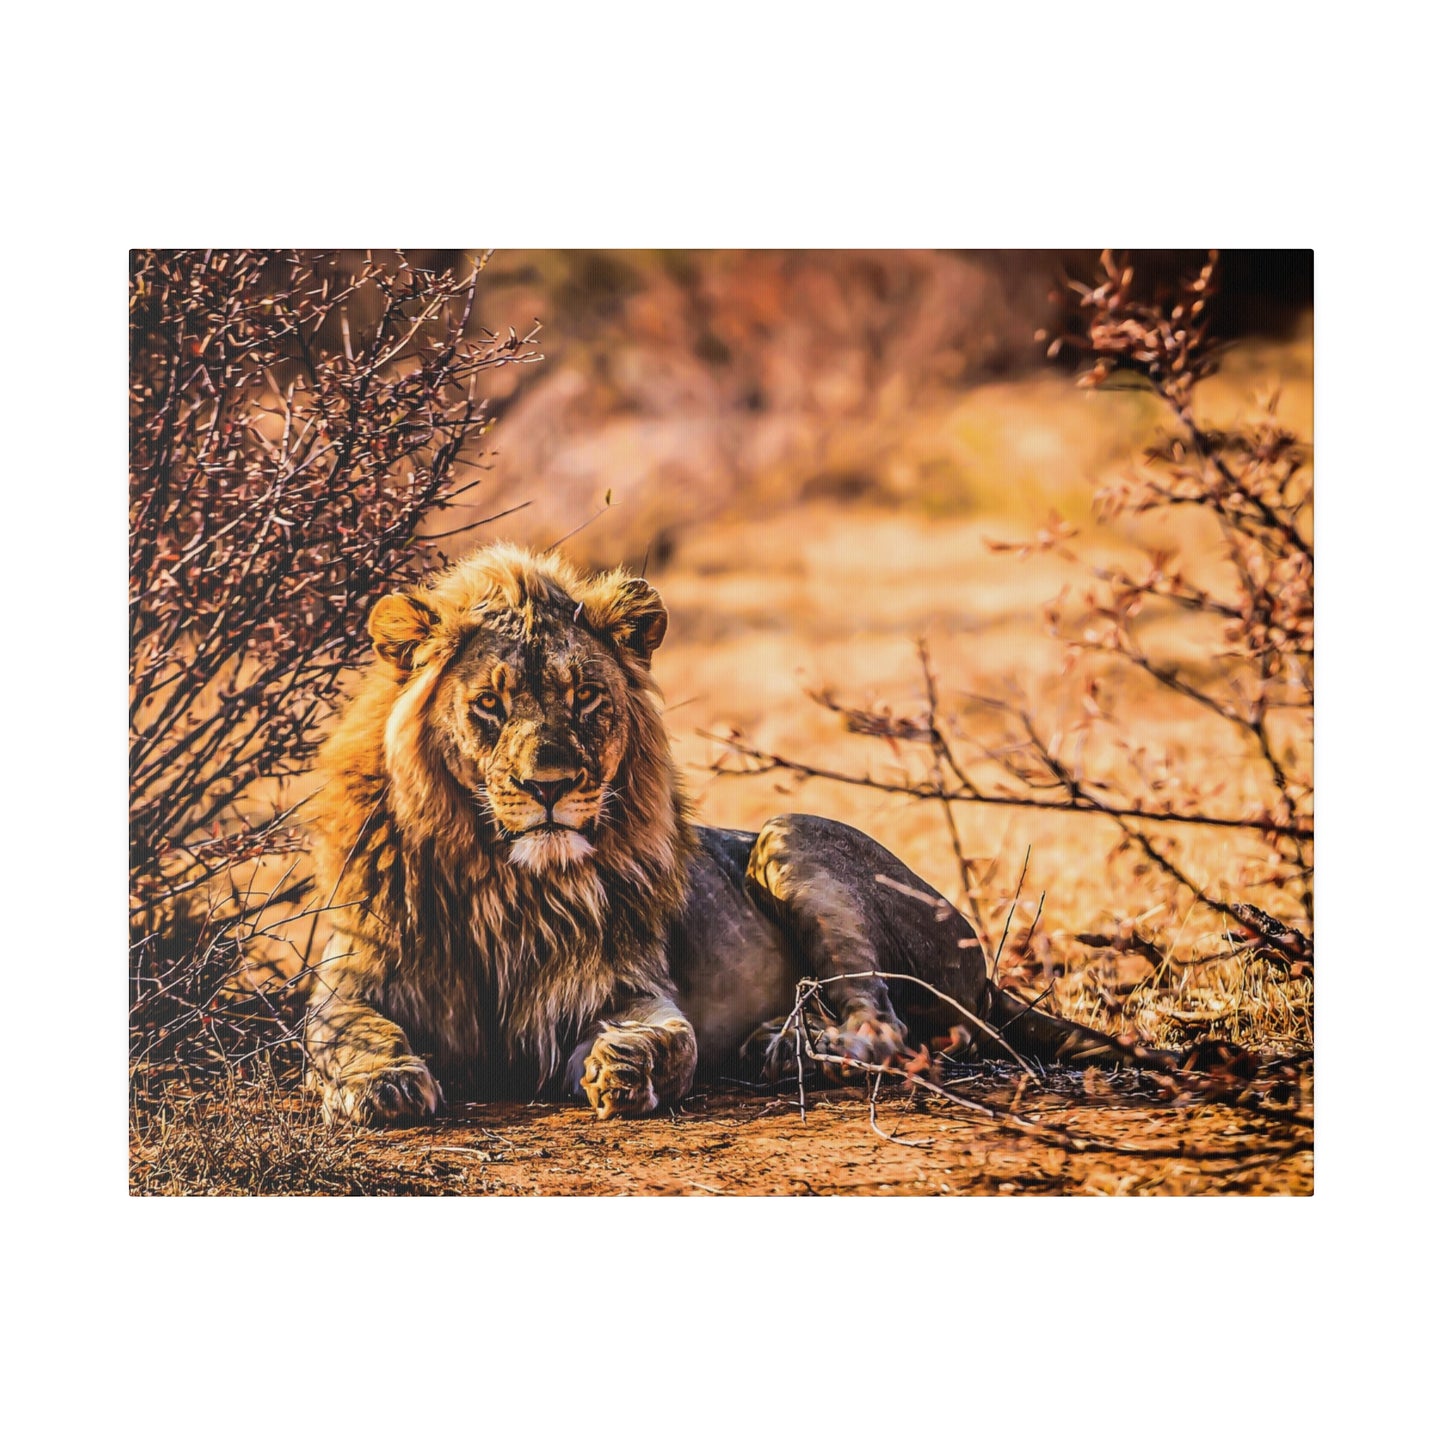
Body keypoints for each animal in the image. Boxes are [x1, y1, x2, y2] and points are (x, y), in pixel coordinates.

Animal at [307, 543, 1150, 1115]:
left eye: (585, 698)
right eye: (489, 703)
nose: (550, 787)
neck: (503, 880)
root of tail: (985, 967)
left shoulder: (623, 987)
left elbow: (671, 1038)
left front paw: (628, 1069)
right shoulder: (350, 980)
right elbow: (347, 1034)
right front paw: (382, 1084)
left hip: (790, 840)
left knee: (887, 1029)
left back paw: (788, 1048)